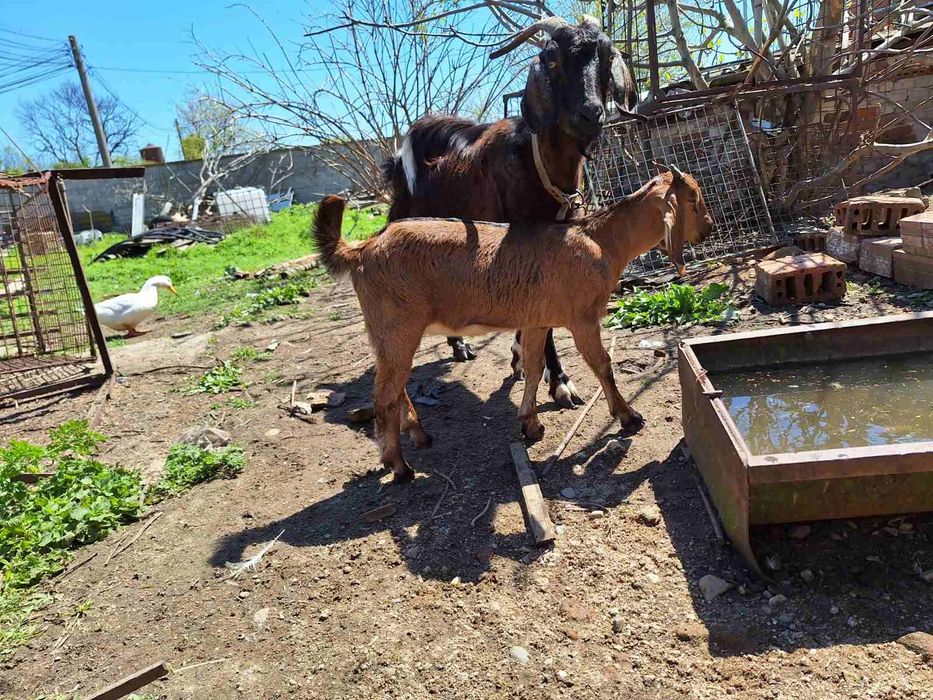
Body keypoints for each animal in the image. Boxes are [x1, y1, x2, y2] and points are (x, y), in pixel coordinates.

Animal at [313, 168, 713, 482]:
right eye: (694, 200)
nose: (708, 229)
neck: (600, 239)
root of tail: (362, 249)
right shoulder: (582, 318)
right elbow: (602, 365)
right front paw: (629, 417)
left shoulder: (536, 321)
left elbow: (535, 368)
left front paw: (530, 424)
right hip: (397, 325)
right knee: (384, 395)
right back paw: (399, 466)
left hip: (393, 332)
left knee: (396, 387)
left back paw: (419, 435)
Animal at [383, 15, 639, 410]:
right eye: (551, 60)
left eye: (609, 56)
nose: (589, 113)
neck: (536, 165)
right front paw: (560, 383)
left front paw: (522, 357)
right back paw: (458, 346)